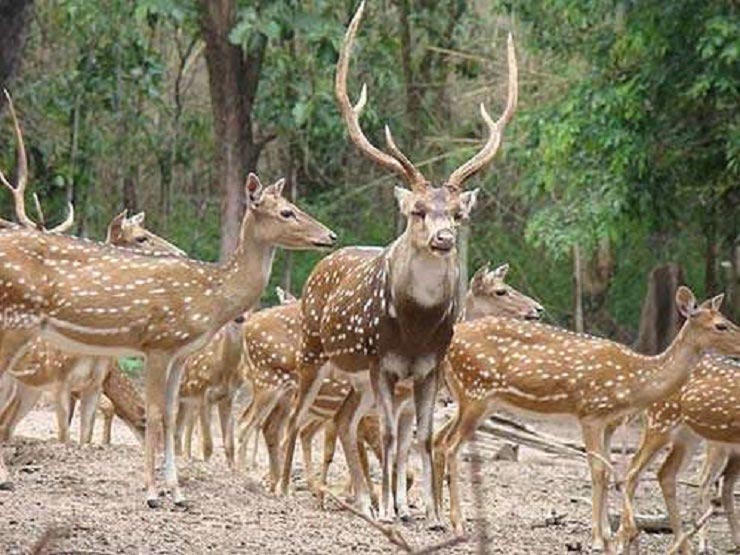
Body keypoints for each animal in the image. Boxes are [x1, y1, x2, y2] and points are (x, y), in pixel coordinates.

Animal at [0, 170, 332, 508]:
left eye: (293, 206)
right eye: (286, 212)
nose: (330, 236)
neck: (211, 299)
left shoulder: (179, 352)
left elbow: (171, 417)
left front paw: (177, 493)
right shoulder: (158, 342)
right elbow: (155, 413)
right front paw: (151, 493)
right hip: (16, 318)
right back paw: (5, 478)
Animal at [616, 356, 740, 555]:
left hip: (687, 436)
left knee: (666, 473)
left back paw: (684, 545)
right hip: (661, 420)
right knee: (634, 468)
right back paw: (622, 542)